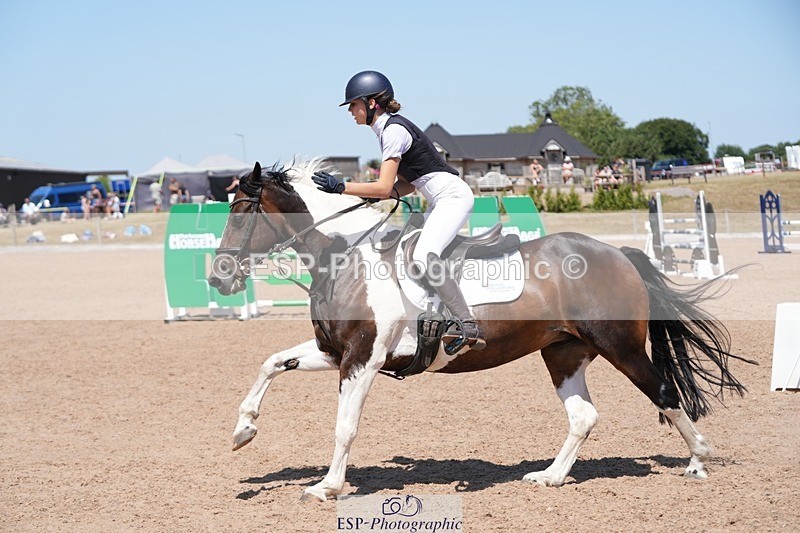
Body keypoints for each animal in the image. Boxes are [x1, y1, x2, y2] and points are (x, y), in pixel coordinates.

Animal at [207, 159, 751, 502]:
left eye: (241, 212)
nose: (218, 277)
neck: (343, 256)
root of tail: (618, 253)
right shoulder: (332, 350)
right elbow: (272, 363)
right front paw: (243, 431)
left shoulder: (363, 357)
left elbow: (345, 425)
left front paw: (327, 486)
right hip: (563, 352)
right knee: (583, 416)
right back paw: (550, 477)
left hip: (620, 346)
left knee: (663, 391)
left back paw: (699, 461)